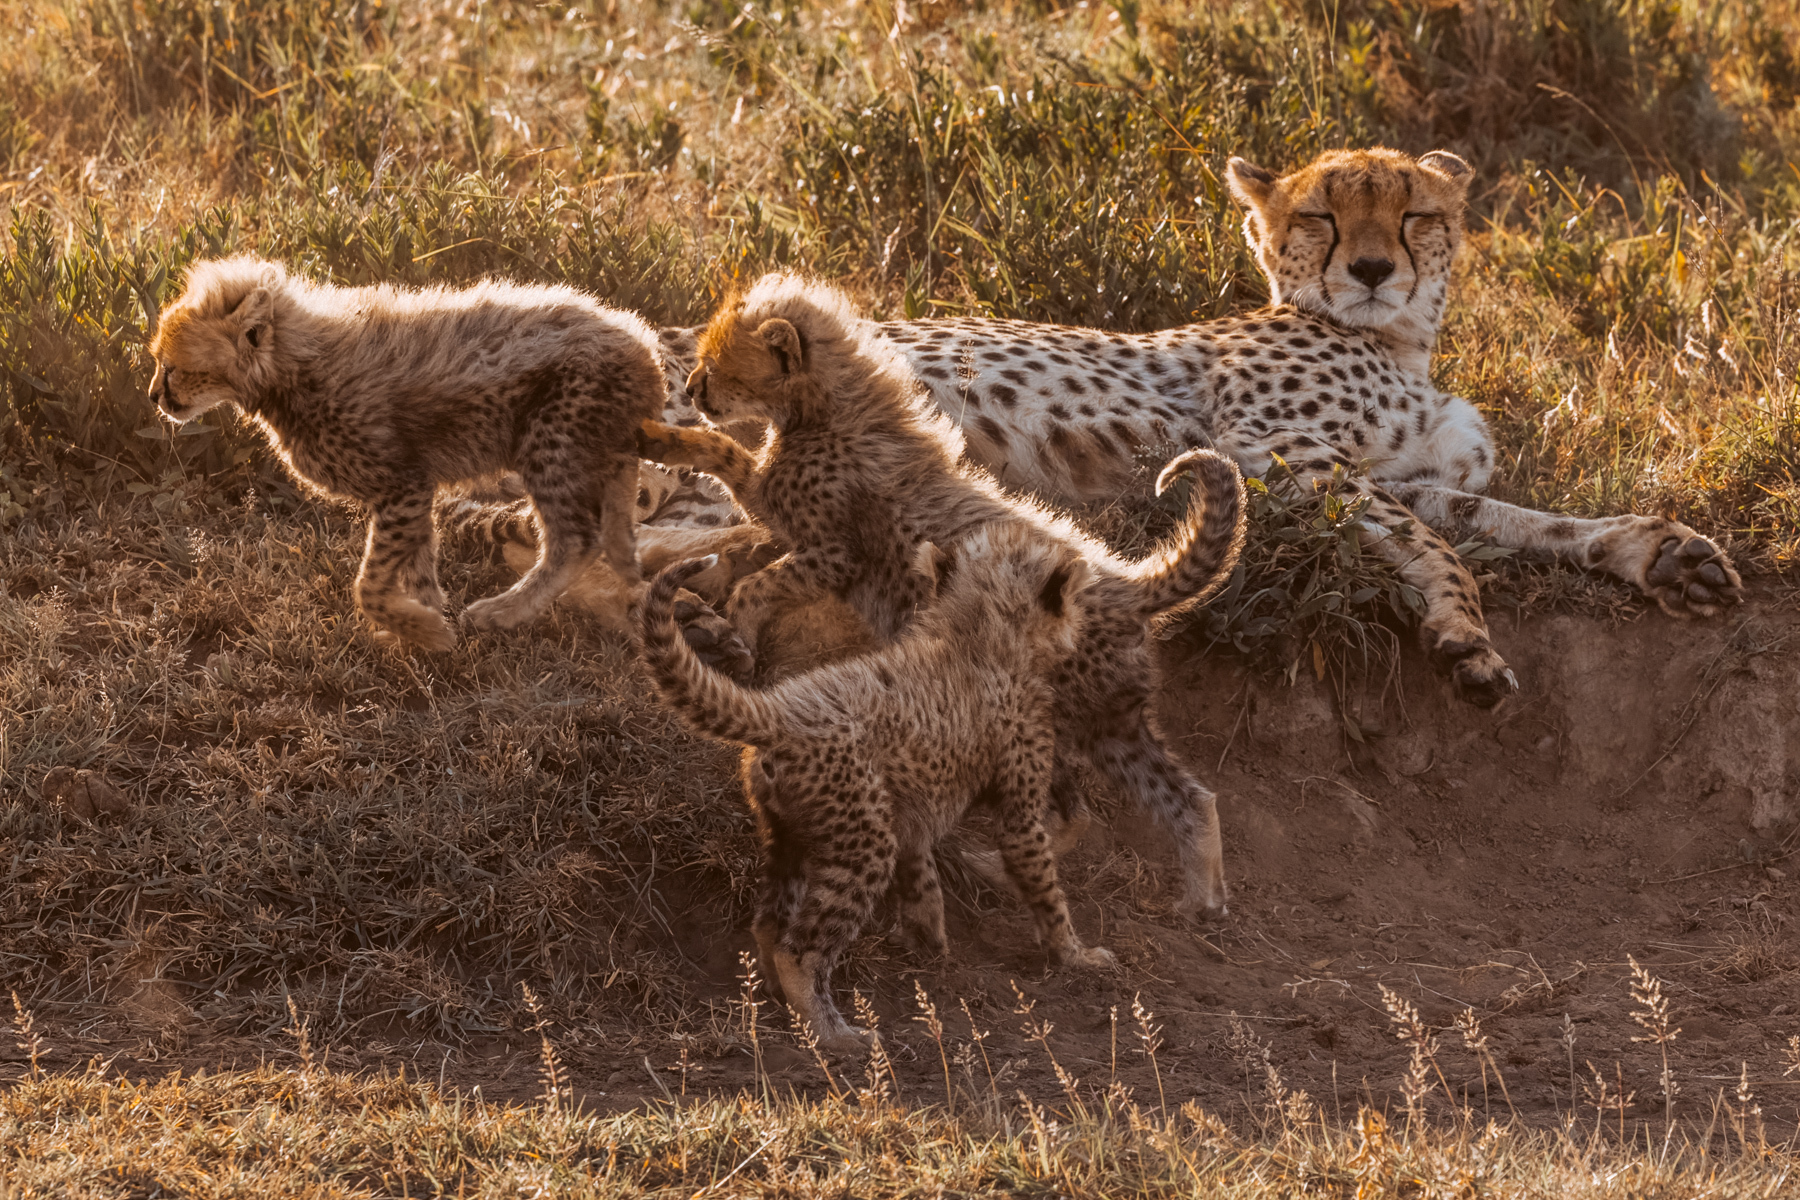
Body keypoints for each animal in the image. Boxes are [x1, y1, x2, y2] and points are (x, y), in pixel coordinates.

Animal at [148, 255, 665, 651]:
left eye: (171, 367)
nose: (154, 396)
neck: (293, 367)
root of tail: (642, 340)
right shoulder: (413, 490)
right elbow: (416, 568)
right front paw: (419, 626)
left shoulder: (402, 486)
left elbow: (368, 584)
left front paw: (426, 633)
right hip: (602, 453)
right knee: (617, 529)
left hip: (549, 446)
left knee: (575, 540)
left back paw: (501, 612)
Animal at [446, 147, 1744, 705]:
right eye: (1323, 218)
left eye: (1415, 213)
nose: (1375, 269)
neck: (1397, 343)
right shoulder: (1275, 458)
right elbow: (1434, 543)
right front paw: (1465, 632)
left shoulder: (1407, 477)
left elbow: (1507, 520)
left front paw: (1655, 551)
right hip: (696, 451)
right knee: (543, 541)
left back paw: (717, 613)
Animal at [636, 271, 1248, 919]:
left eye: (715, 365)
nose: (693, 388)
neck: (830, 407)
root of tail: (1127, 585)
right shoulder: (796, 529)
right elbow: (736, 489)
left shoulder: (830, 551)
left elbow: (747, 536)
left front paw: (740, 637)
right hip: (1107, 727)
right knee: (1183, 799)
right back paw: (1200, 897)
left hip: (1049, 721)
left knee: (1077, 808)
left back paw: (1000, 866)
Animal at [638, 525, 1116, 1050]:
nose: (1081, 625)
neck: (980, 627)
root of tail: (779, 710)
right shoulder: (1019, 813)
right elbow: (1046, 889)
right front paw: (1075, 954)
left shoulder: (909, 811)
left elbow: (922, 876)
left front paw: (930, 943)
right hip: (863, 838)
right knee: (800, 949)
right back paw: (833, 1032)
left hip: (789, 830)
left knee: (769, 921)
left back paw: (776, 991)